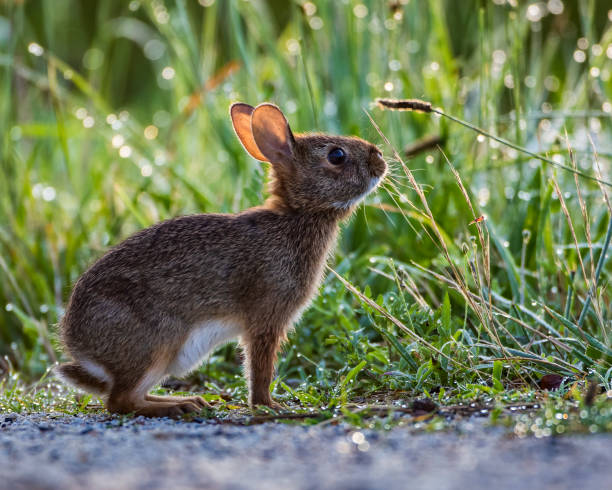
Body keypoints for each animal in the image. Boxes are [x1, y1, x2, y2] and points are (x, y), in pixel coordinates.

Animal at [55, 103, 384, 418]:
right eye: (336, 155)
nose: (380, 158)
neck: (297, 213)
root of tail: (79, 348)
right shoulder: (266, 318)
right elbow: (260, 368)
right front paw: (269, 406)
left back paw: (189, 401)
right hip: (156, 346)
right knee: (120, 401)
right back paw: (178, 407)